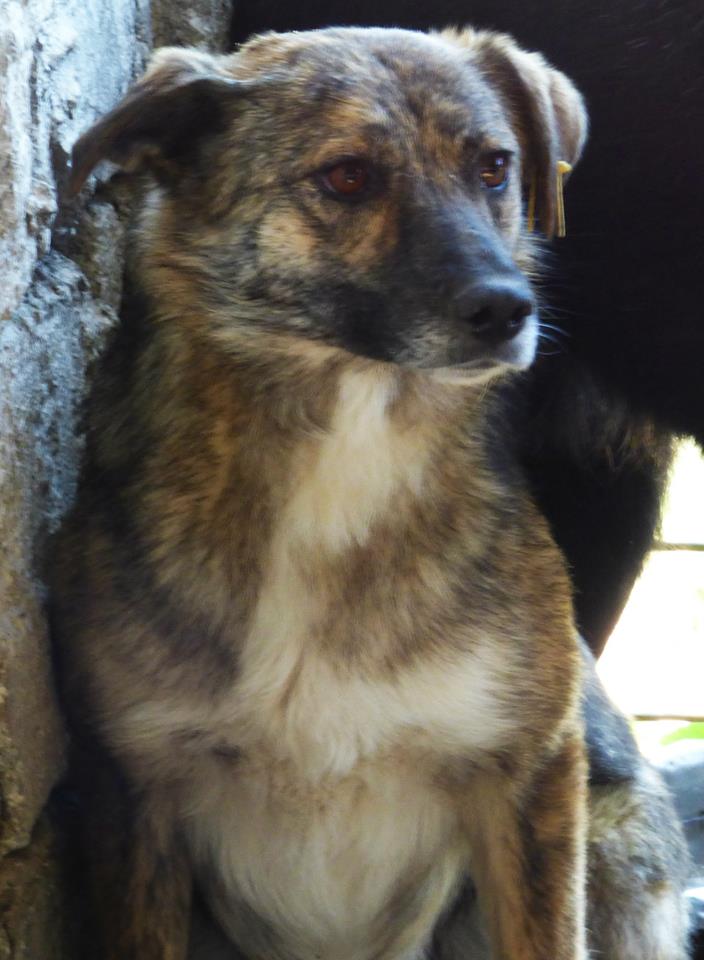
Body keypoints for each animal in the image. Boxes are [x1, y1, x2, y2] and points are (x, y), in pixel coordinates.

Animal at [52, 22, 692, 960]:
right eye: (347, 176)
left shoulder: (530, 772)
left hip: (614, 839)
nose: (509, 309)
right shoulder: (136, 795)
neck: (346, 457)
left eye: (494, 166)